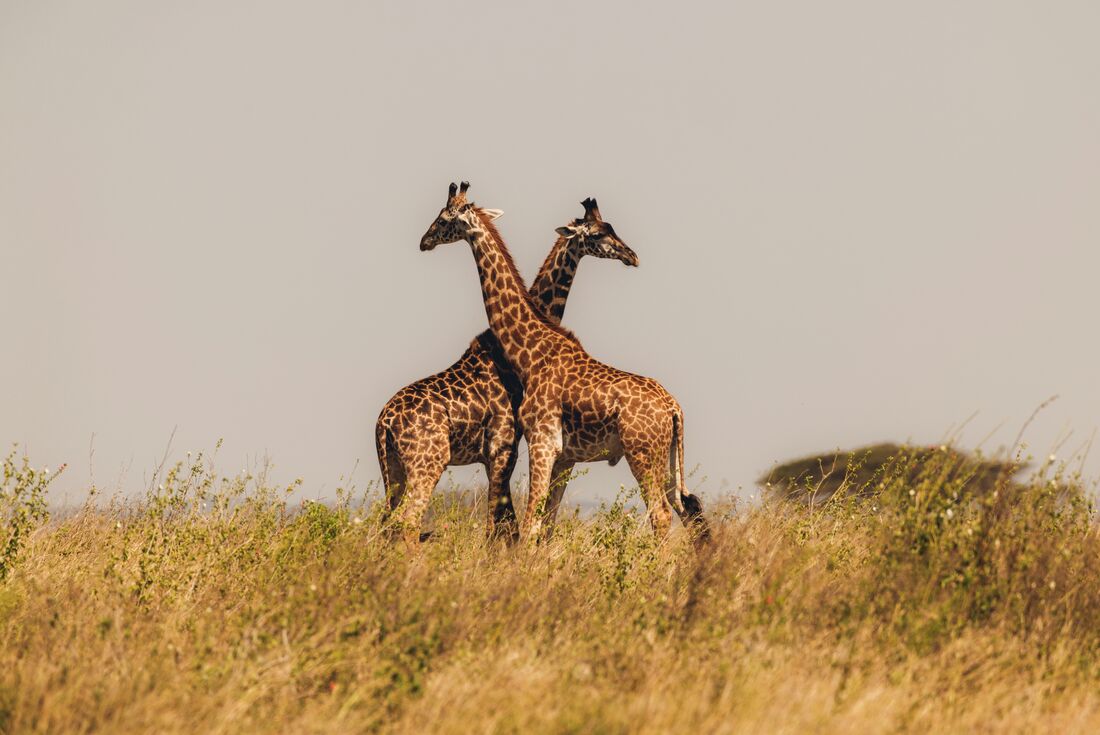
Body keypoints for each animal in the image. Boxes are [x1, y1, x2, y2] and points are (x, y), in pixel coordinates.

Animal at [375, 197, 638, 548]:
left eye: (611, 228)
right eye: (597, 234)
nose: (631, 255)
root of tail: (383, 423)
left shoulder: (502, 451)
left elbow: (505, 527)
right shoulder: (503, 447)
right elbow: (502, 528)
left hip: (393, 468)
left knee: (386, 523)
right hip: (428, 462)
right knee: (406, 523)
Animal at [419, 182, 709, 544]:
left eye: (444, 219)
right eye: (600, 233)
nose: (424, 240)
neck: (530, 353)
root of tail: (674, 408)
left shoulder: (542, 442)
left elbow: (529, 525)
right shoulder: (562, 456)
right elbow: (545, 526)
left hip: (642, 453)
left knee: (661, 514)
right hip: (667, 458)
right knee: (689, 508)